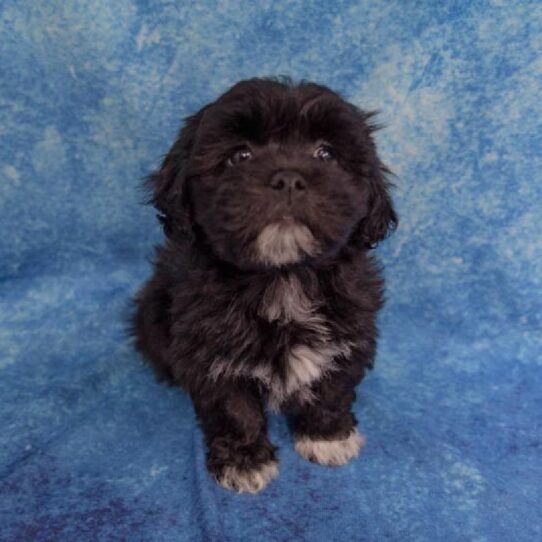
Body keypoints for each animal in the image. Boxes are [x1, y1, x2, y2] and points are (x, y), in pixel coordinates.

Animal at [133, 77, 400, 498]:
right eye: (240, 155)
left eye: (326, 153)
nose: (288, 178)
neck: (282, 276)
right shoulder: (211, 352)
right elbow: (233, 407)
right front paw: (244, 461)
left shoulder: (350, 334)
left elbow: (332, 385)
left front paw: (327, 437)